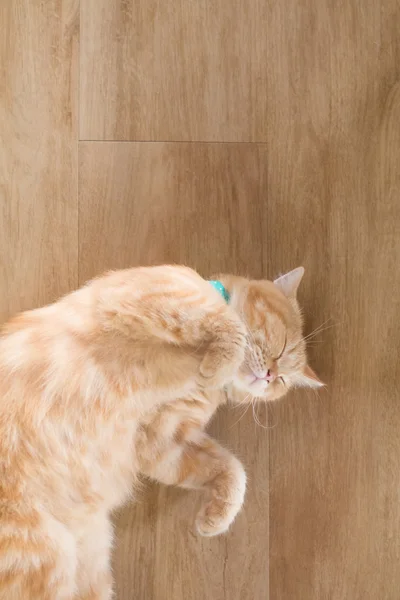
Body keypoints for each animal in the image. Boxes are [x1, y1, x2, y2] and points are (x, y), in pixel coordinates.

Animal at [0, 264, 322, 596]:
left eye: (283, 380)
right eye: (282, 348)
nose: (270, 376)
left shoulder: (163, 439)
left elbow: (234, 470)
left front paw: (217, 517)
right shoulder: (154, 293)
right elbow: (230, 325)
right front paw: (217, 365)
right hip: (47, 559)